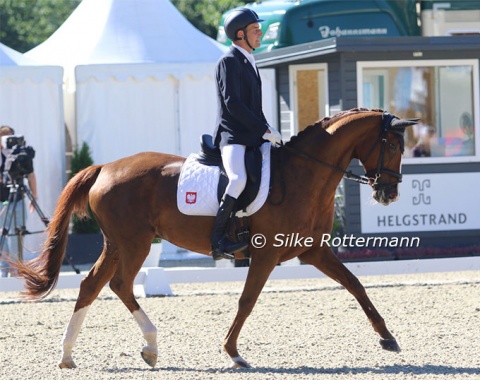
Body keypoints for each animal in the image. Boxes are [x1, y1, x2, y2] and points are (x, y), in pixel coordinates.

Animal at [14, 108, 416, 370]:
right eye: (394, 147)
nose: (389, 194)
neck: (304, 174)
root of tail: (105, 168)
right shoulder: (266, 254)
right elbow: (247, 301)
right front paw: (233, 352)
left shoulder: (314, 251)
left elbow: (356, 284)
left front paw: (388, 338)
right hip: (135, 243)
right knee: (120, 285)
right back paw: (149, 346)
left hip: (117, 244)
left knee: (91, 286)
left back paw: (69, 355)